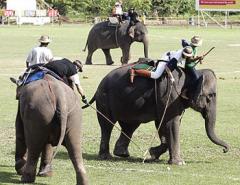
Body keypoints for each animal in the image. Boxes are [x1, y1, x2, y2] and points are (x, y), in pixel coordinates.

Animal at [84, 62, 229, 165]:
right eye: (211, 96)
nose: (225, 150)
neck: (190, 74)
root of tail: (99, 85)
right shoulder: (170, 94)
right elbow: (171, 123)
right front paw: (179, 163)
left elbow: (163, 124)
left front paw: (152, 154)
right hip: (104, 100)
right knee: (107, 126)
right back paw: (106, 156)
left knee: (129, 126)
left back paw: (122, 154)